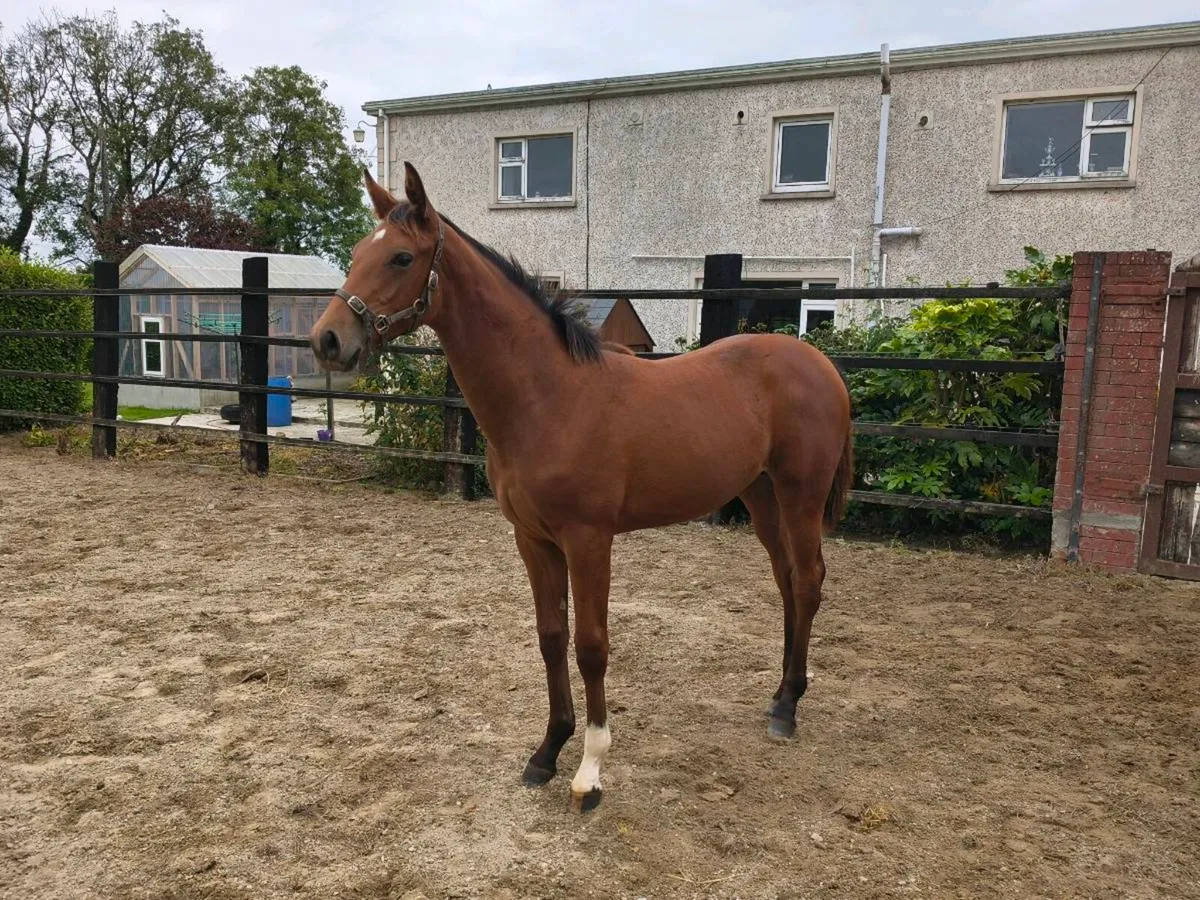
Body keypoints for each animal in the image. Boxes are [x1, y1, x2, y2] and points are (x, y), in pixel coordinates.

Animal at [310, 164, 853, 812]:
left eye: (399, 257)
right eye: (353, 254)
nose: (327, 340)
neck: (548, 397)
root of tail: (821, 365)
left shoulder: (589, 540)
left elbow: (592, 645)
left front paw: (590, 772)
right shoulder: (532, 539)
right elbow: (552, 637)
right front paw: (548, 751)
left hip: (799, 496)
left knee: (810, 581)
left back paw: (790, 707)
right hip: (761, 497)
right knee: (788, 583)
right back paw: (778, 696)